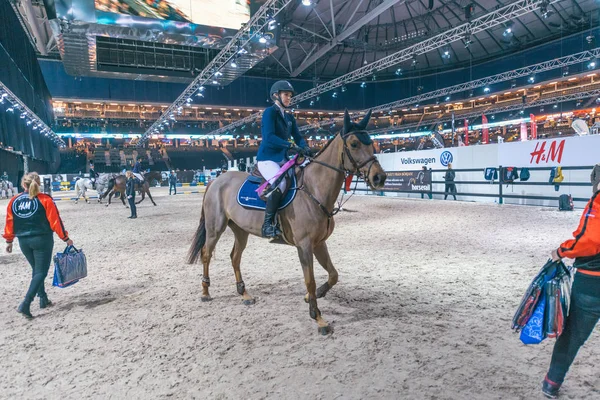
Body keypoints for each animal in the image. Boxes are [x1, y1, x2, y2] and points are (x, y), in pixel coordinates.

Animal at [185, 110, 386, 334]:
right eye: (354, 144)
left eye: (372, 143)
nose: (380, 178)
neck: (314, 190)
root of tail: (215, 180)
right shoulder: (305, 245)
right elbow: (310, 280)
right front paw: (318, 317)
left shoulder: (319, 243)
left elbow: (333, 275)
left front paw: (314, 297)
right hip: (215, 228)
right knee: (206, 254)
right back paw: (205, 292)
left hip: (240, 230)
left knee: (235, 257)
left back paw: (244, 294)